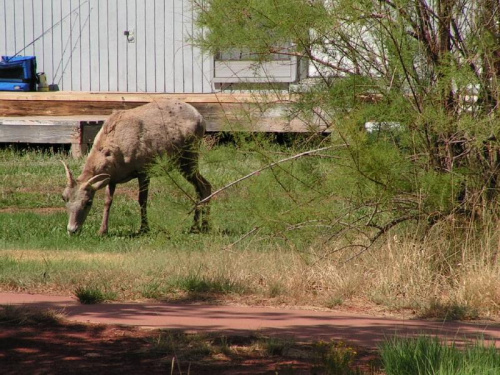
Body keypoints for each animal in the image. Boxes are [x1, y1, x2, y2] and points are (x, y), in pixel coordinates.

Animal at [61, 100, 212, 235]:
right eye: (64, 198)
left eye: (88, 202)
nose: (72, 230)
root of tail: (201, 119)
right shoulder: (112, 178)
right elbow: (108, 201)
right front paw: (102, 231)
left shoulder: (144, 170)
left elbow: (142, 200)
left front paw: (144, 228)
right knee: (201, 187)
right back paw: (196, 226)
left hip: (189, 156)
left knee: (204, 185)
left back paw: (203, 226)